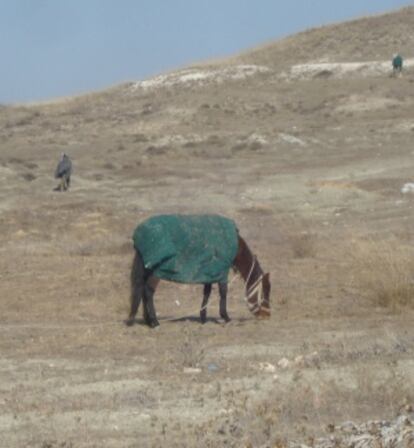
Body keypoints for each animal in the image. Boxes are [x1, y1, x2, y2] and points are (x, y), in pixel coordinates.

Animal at [124, 215, 270, 328]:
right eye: (265, 292)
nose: (266, 315)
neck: (233, 245)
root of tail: (140, 237)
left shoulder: (210, 272)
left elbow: (207, 292)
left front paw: (203, 318)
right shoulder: (222, 272)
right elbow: (223, 292)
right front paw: (226, 317)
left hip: (148, 271)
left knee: (142, 291)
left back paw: (148, 321)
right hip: (156, 273)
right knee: (148, 292)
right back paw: (154, 322)